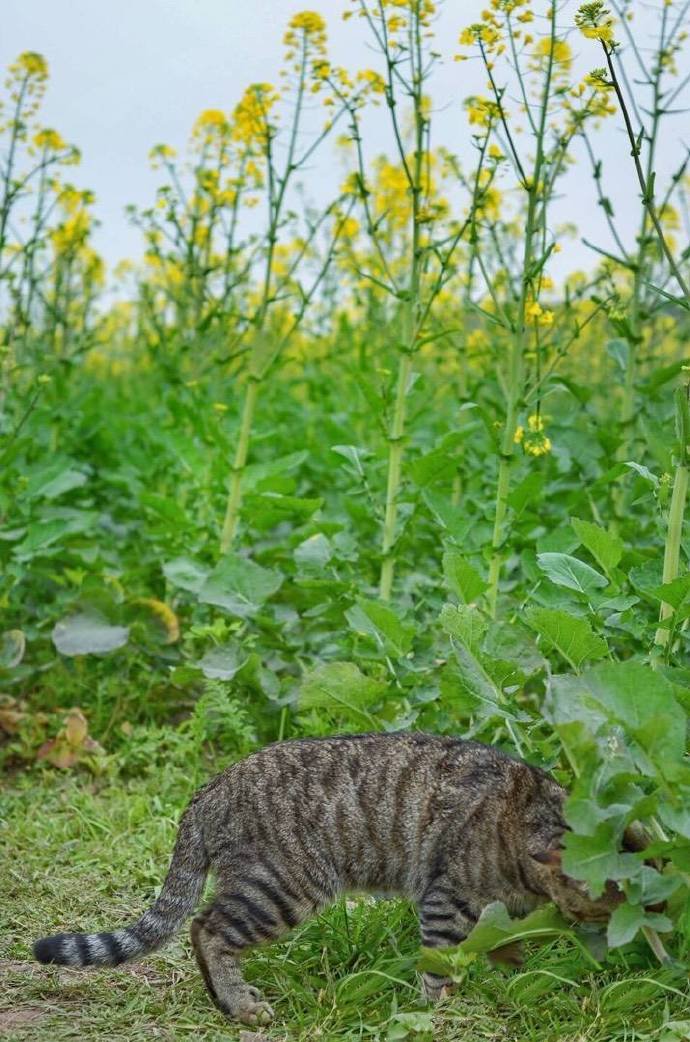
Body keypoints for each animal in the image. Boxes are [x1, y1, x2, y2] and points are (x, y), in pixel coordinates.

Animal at [32, 733, 637, 1025]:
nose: (642, 922)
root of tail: (211, 788)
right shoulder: (447, 896)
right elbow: (440, 963)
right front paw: (441, 1011)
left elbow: (500, 944)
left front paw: (506, 973)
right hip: (284, 886)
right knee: (207, 928)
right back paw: (239, 1005)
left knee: (203, 927)